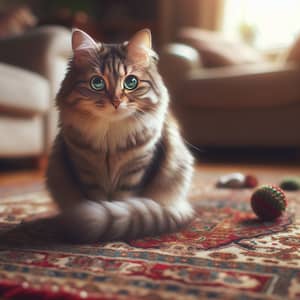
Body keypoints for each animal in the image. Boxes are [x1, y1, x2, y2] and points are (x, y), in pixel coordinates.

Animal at [46, 28, 196, 244]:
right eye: (97, 83)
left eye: (131, 82)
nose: (115, 101)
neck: (110, 135)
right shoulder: (86, 170)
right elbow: (97, 200)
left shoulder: (135, 170)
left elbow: (123, 201)